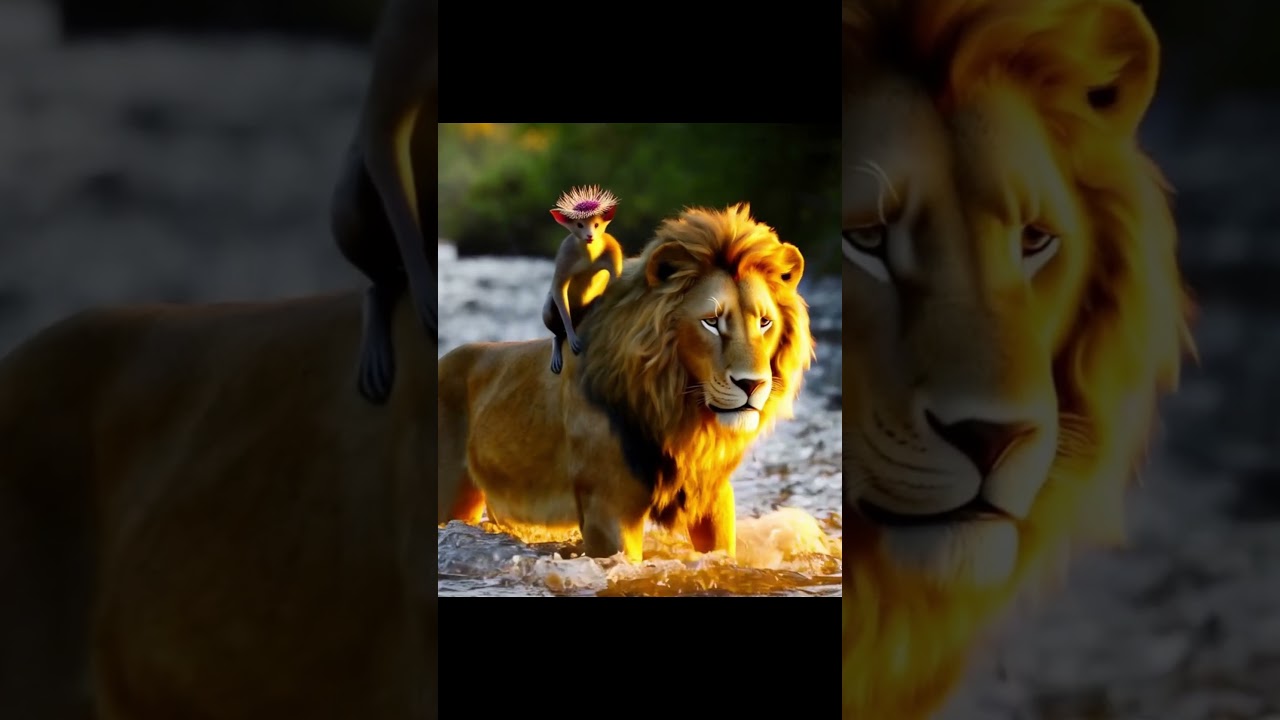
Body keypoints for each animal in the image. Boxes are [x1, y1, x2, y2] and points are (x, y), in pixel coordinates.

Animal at [437, 203, 814, 562]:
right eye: (711, 321)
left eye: (764, 322)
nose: (752, 385)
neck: (677, 414)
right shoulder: (608, 507)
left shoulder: (712, 495)